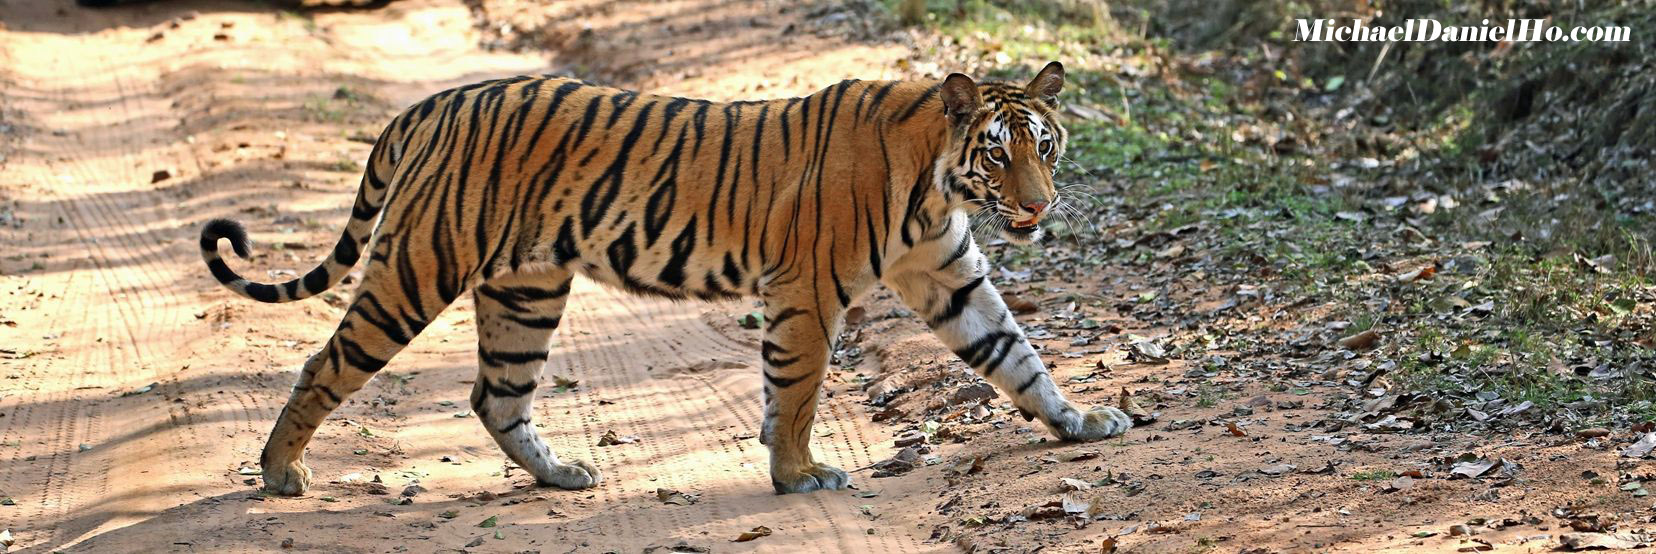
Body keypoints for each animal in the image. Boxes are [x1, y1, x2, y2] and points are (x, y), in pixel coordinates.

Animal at [190, 59, 1126, 496]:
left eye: (1044, 147)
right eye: (997, 156)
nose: (1039, 207)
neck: (938, 188)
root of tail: (434, 102)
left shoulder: (948, 276)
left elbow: (1017, 355)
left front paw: (1079, 422)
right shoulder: (805, 290)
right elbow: (798, 390)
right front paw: (798, 474)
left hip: (526, 288)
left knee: (496, 394)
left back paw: (560, 475)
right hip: (419, 266)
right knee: (325, 363)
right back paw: (278, 473)